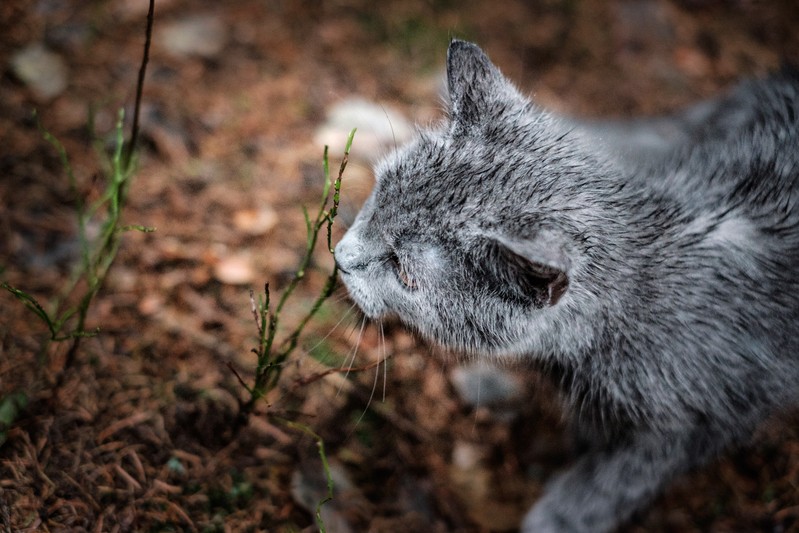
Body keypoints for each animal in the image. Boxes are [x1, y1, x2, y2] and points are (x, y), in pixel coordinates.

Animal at [332, 39, 799, 528]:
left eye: (403, 271)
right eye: (377, 196)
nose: (341, 257)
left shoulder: (703, 421)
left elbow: (616, 479)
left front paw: (560, 515)